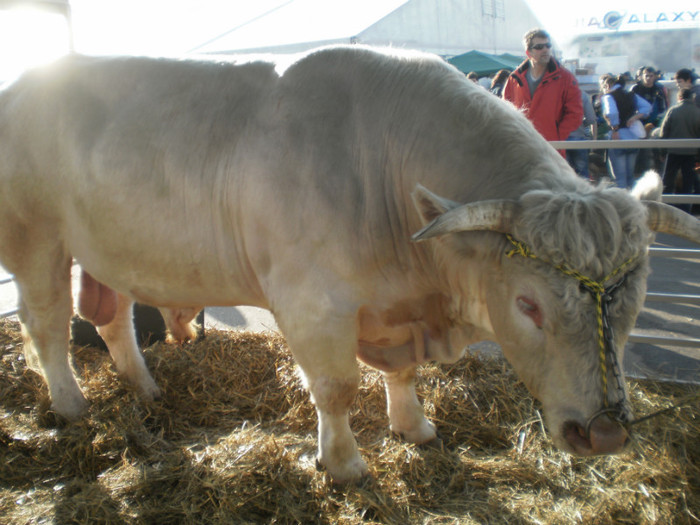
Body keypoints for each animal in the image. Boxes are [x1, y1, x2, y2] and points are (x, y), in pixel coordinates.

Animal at [1, 47, 700, 482]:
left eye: (635, 301)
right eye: (528, 305)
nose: (604, 435)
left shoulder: (394, 312)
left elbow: (402, 373)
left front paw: (415, 427)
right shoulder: (313, 304)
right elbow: (336, 388)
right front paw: (343, 465)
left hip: (102, 246)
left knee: (112, 317)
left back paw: (146, 388)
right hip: (35, 238)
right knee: (46, 327)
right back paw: (71, 405)